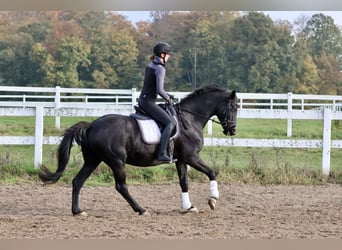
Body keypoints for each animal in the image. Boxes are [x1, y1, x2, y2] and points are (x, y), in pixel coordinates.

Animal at [38, 84, 236, 215]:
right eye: (233, 107)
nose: (232, 130)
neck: (189, 119)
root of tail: (91, 125)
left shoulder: (181, 159)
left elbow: (184, 182)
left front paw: (189, 207)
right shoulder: (191, 156)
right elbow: (211, 172)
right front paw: (213, 200)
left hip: (93, 160)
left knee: (77, 181)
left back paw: (78, 211)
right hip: (116, 161)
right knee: (121, 186)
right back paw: (141, 209)